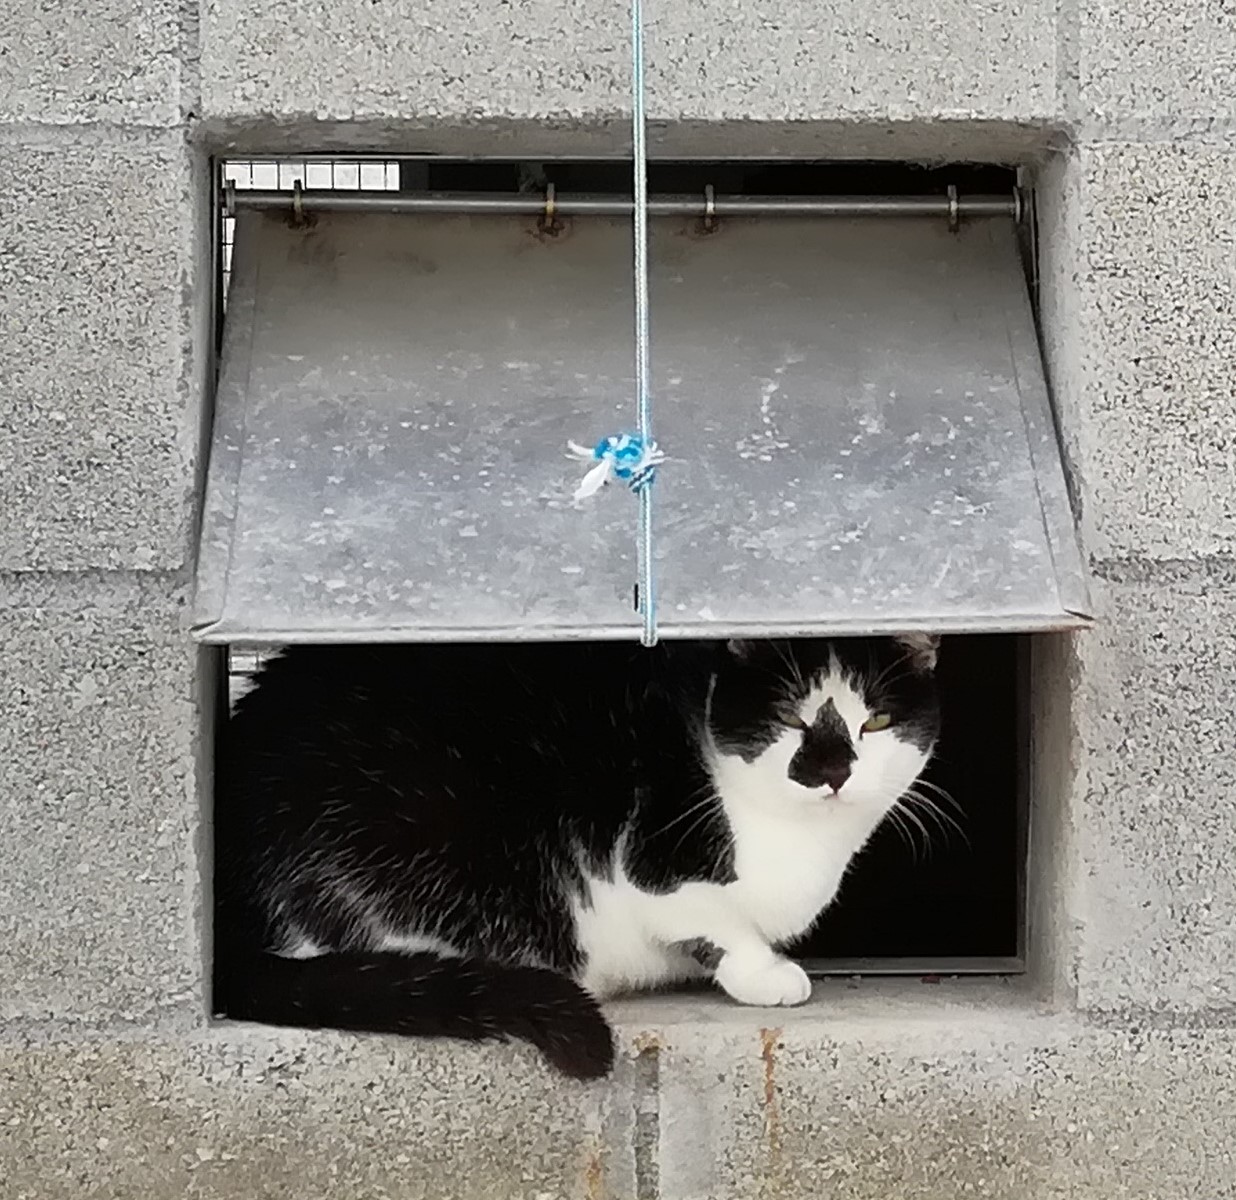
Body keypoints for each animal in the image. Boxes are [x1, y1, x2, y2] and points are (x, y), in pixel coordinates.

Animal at [213, 634, 941, 1079]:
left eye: (874, 722)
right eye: (790, 718)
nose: (832, 772)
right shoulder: (647, 857)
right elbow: (710, 918)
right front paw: (766, 972)